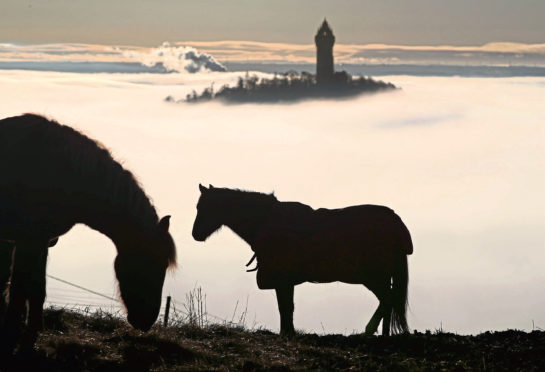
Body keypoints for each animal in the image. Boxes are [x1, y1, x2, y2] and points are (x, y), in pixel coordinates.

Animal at [0, 115, 175, 354]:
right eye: (151, 263)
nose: (146, 322)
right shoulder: (29, 240)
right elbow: (20, 290)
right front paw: (13, 337)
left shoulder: (41, 241)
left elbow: (36, 289)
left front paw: (31, 334)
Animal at [193, 185, 410, 336]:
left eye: (204, 207)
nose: (195, 234)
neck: (265, 223)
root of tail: (396, 223)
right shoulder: (286, 282)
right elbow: (287, 307)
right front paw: (288, 332)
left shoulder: (282, 280)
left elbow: (285, 308)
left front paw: (287, 333)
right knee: (388, 302)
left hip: (374, 276)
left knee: (388, 299)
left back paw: (368, 330)